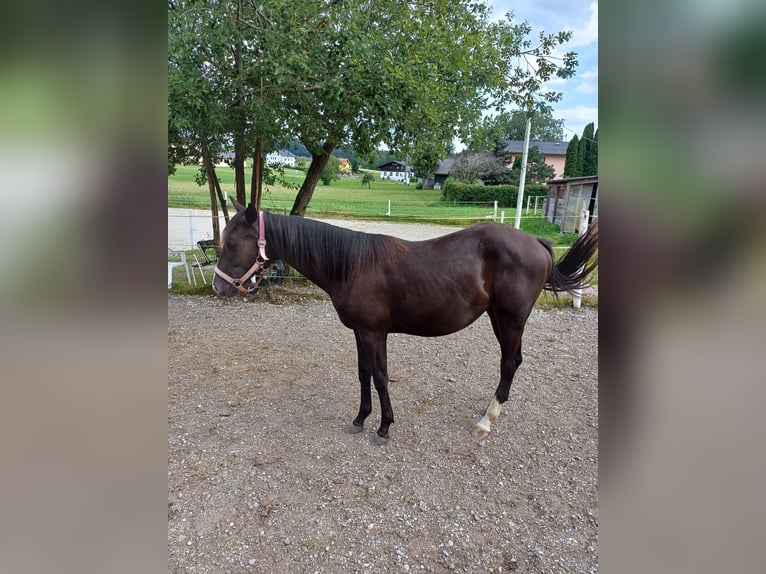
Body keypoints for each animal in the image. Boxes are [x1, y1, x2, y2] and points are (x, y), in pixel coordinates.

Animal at [214, 202, 600, 446]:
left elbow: (381, 377)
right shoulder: (360, 332)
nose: (219, 287)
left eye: (232, 243)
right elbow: (364, 374)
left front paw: (384, 426)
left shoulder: (375, 333)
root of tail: (534, 242)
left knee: (508, 363)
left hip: (511, 318)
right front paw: (360, 419)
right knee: (514, 361)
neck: (351, 265)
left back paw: (485, 421)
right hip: (498, 317)